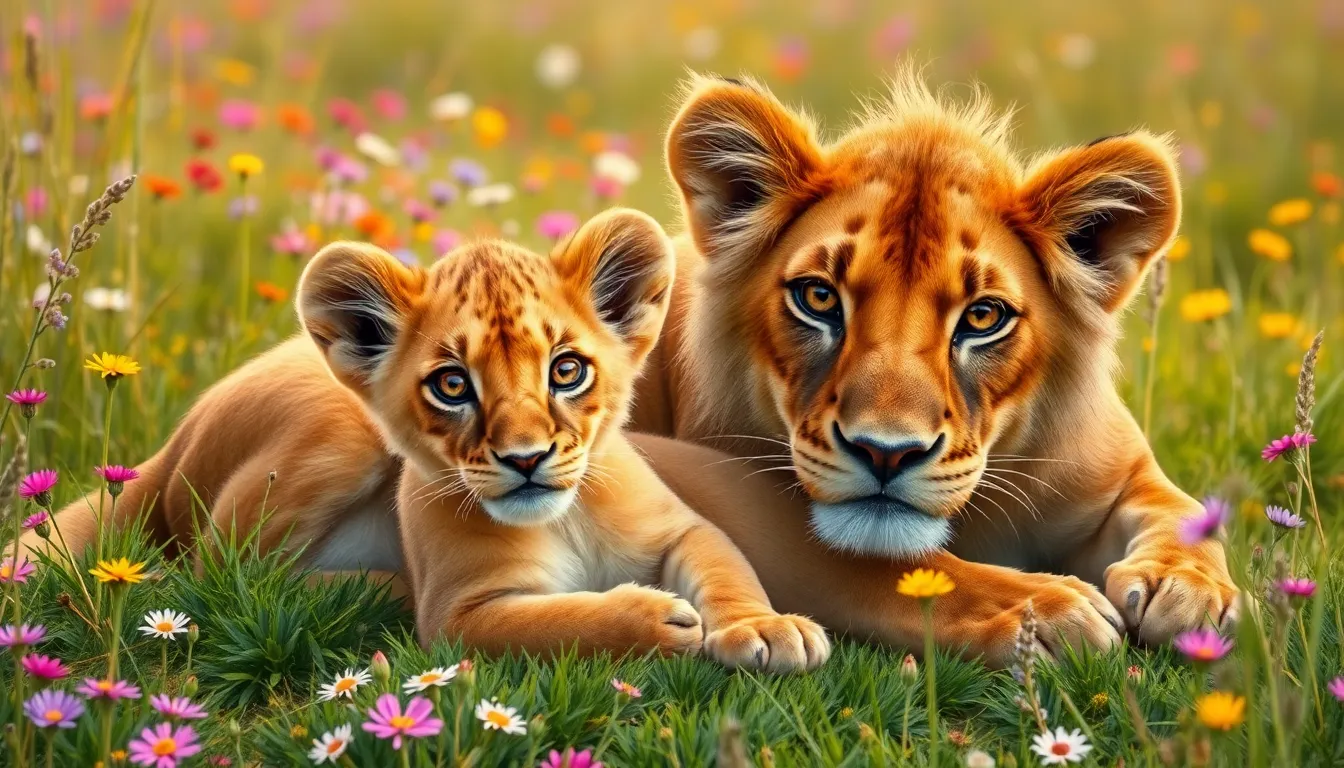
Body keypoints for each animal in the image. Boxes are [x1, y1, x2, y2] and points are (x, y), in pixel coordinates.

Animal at [26, 210, 829, 672]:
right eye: (451, 385)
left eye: (567, 370)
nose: (527, 460)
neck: (564, 517)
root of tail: (170, 443)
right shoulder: (460, 614)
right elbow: (563, 620)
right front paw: (652, 621)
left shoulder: (680, 528)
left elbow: (727, 565)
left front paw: (767, 629)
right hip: (338, 440)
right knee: (221, 575)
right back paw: (378, 586)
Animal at [627, 71, 1238, 667]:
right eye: (819, 298)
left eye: (983, 316)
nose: (885, 452)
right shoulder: (705, 474)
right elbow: (880, 565)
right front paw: (1048, 611)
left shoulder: (1116, 468)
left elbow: (1178, 508)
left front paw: (1189, 590)